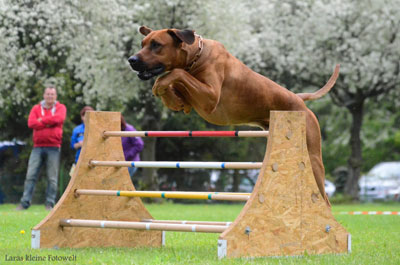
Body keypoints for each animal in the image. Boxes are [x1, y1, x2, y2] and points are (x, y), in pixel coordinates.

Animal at [130, 26, 340, 205]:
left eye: (156, 44)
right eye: (142, 44)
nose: (131, 59)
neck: (196, 55)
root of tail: (299, 99)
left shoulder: (210, 97)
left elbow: (176, 73)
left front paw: (160, 85)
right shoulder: (193, 99)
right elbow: (174, 82)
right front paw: (169, 96)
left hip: (312, 158)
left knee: (325, 200)